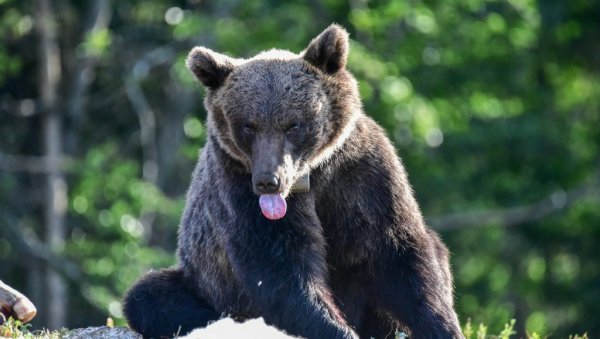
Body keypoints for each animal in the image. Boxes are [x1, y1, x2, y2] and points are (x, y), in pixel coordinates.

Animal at [122, 24, 464, 339]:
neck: (311, 174)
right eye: (248, 126)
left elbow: (398, 253)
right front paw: (336, 329)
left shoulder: (361, 173)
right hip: (204, 282)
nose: (268, 181)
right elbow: (281, 267)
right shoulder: (235, 181)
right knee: (150, 296)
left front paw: (442, 326)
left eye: (293, 125)